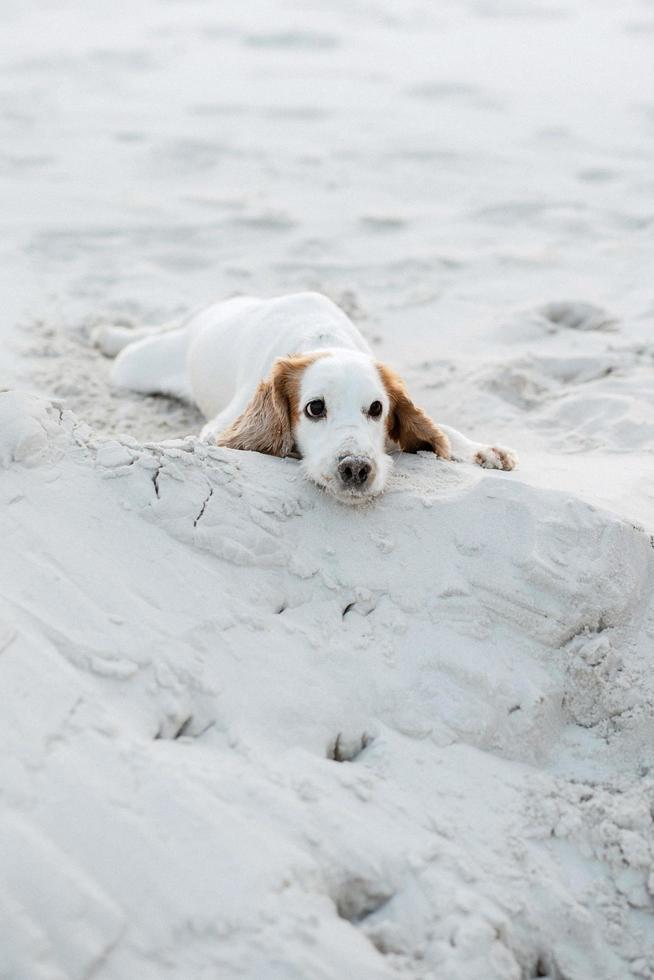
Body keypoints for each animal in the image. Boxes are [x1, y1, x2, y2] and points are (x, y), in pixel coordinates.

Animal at [96, 290, 516, 506]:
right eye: (315, 408)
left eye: (377, 408)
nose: (356, 469)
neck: (323, 340)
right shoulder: (220, 427)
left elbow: (443, 430)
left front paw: (483, 451)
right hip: (136, 365)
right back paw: (107, 335)